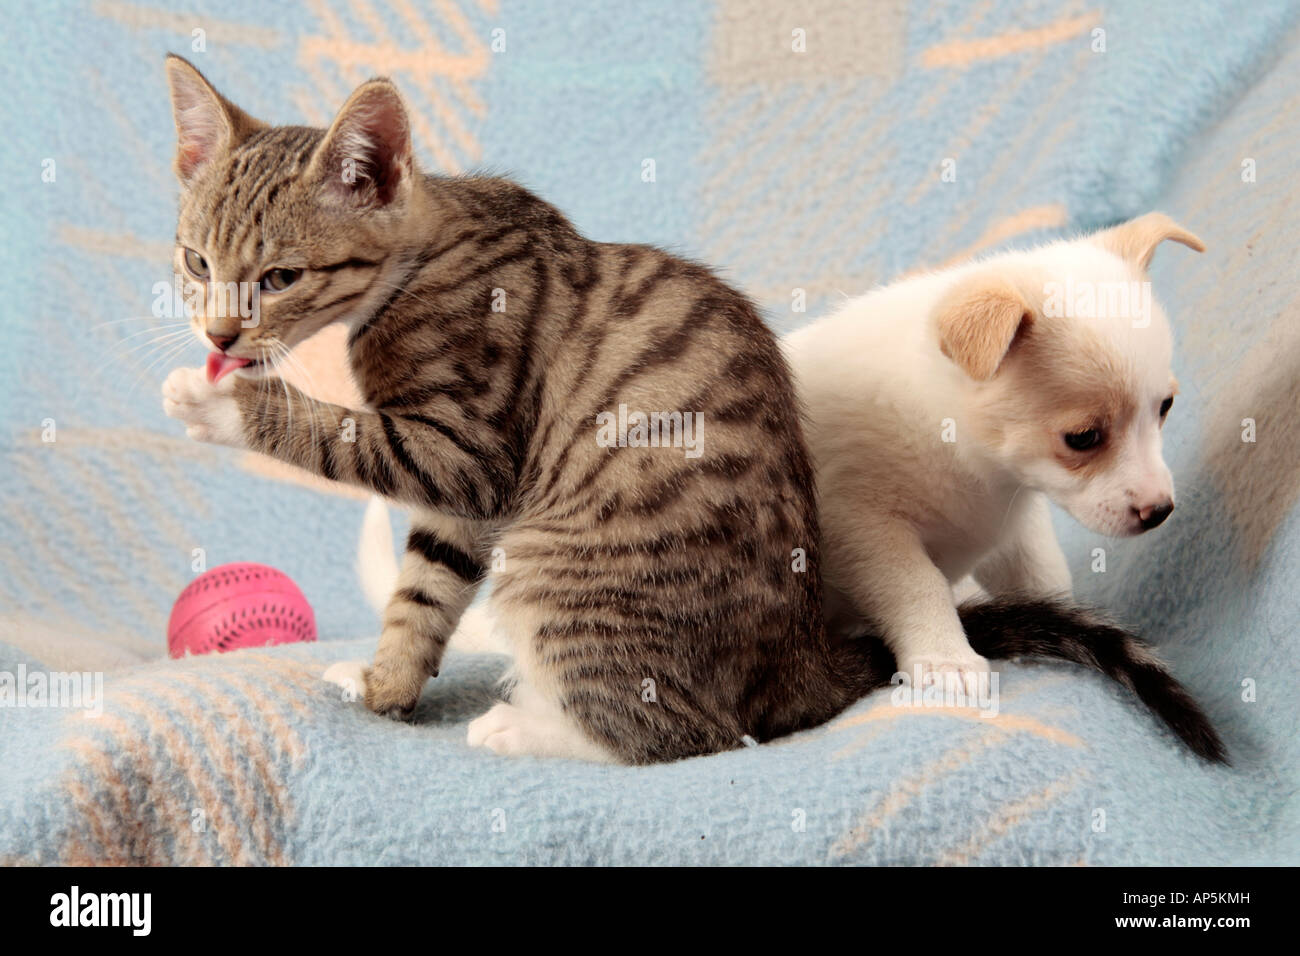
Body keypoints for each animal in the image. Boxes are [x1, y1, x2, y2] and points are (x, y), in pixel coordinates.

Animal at [774, 213, 1201, 691]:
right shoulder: (863, 529)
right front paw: (945, 659)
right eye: (1083, 438)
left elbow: (1042, 574)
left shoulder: (1017, 523)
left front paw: (1060, 620)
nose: (1159, 511)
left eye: (1165, 407)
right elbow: (915, 585)